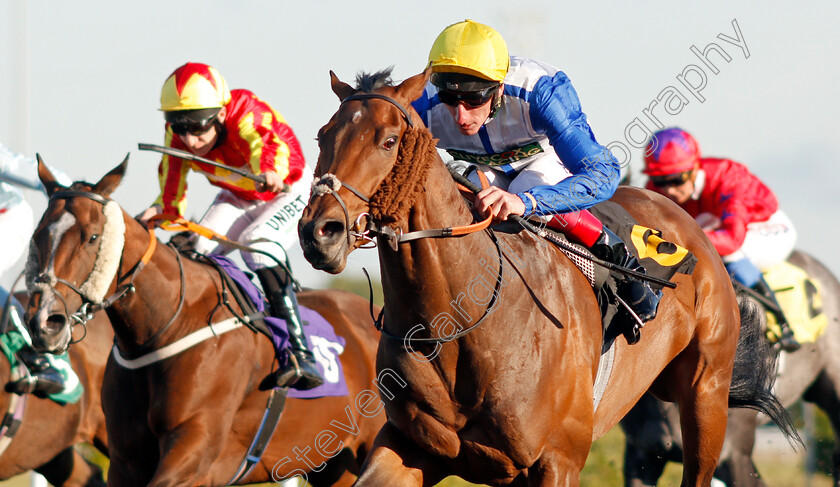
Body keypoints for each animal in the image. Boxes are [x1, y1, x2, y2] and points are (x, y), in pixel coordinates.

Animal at [23, 158, 384, 486]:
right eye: (37, 236)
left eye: (93, 237)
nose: (44, 322)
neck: (166, 326)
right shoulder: (126, 462)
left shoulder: (195, 456)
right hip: (333, 464)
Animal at [298, 69, 796, 487]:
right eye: (323, 135)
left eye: (388, 140)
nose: (319, 231)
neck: (461, 321)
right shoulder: (411, 446)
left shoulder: (558, 460)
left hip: (705, 398)